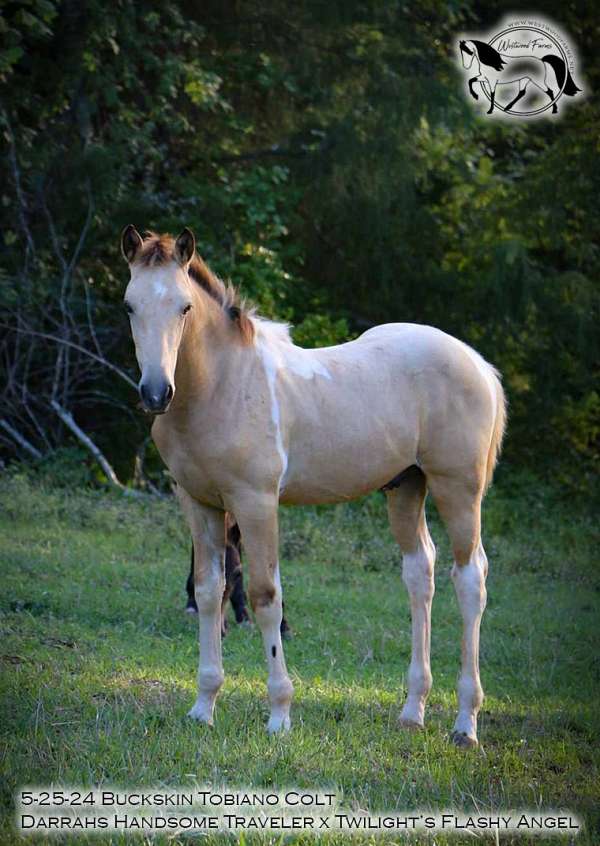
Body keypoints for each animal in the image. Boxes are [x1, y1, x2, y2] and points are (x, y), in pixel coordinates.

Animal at [122, 225, 506, 748]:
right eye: (129, 305)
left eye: (183, 306)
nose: (156, 393)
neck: (222, 385)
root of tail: (479, 364)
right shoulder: (198, 503)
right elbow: (208, 591)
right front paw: (203, 707)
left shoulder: (256, 503)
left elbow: (265, 596)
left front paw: (279, 715)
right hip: (406, 488)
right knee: (419, 573)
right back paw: (412, 711)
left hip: (459, 490)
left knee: (470, 579)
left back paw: (465, 724)